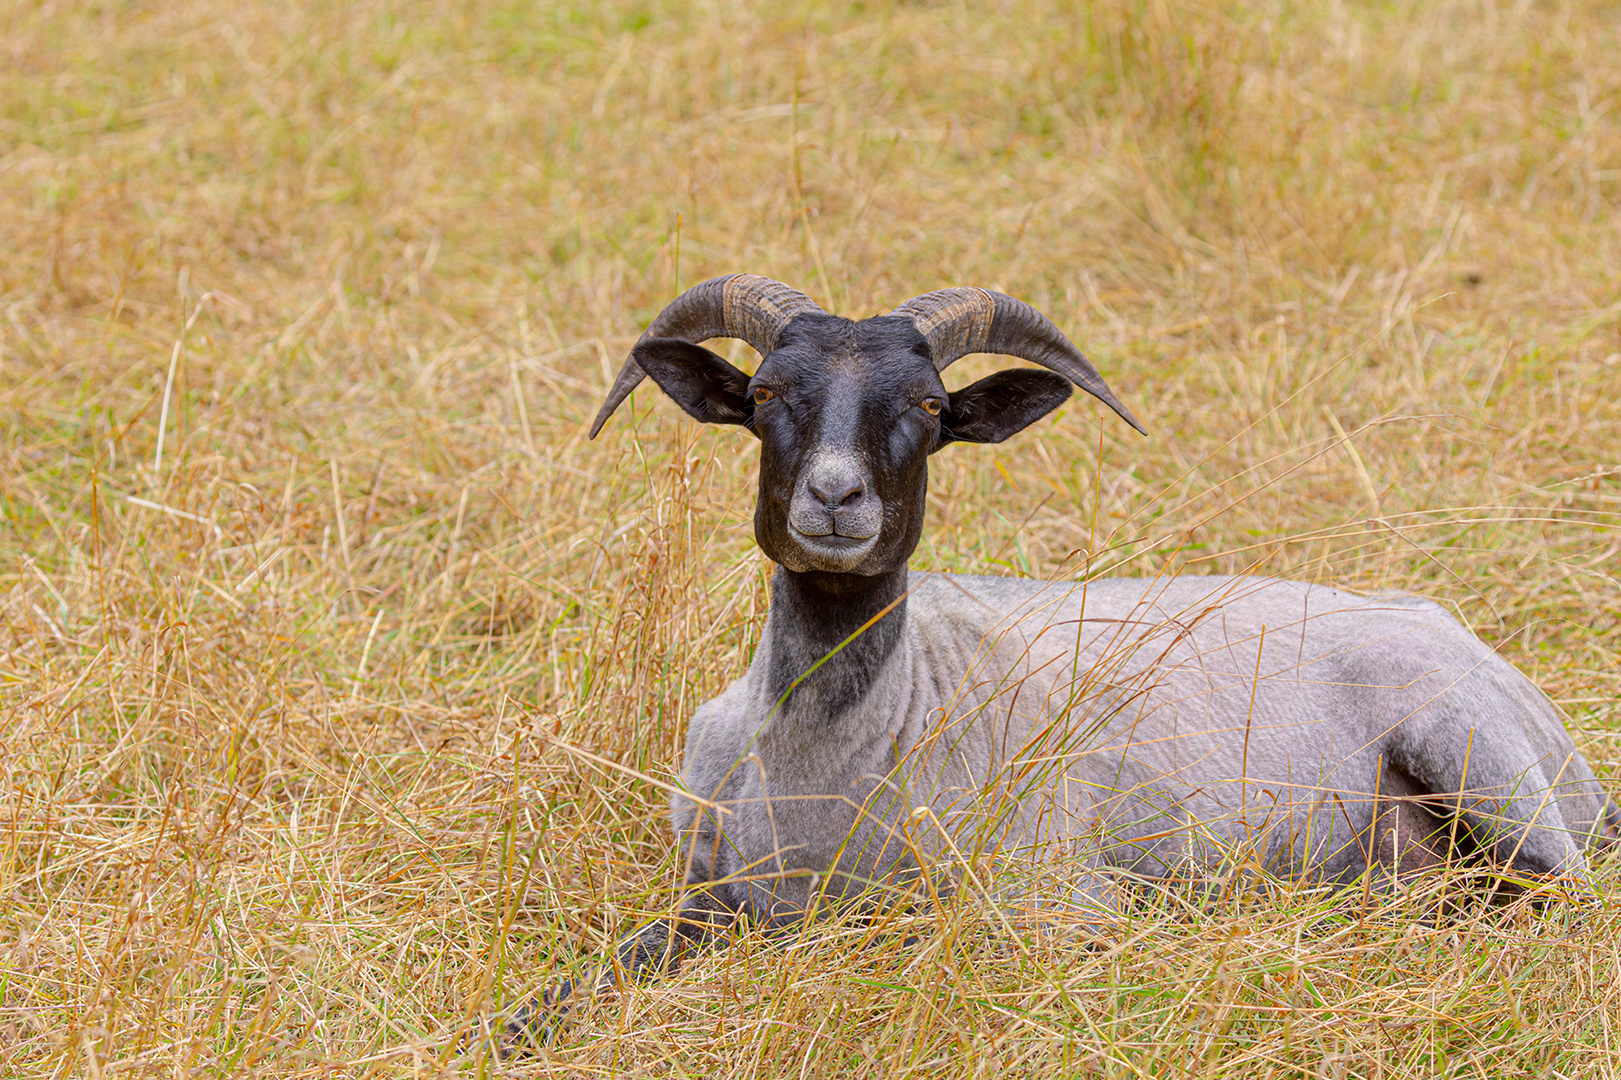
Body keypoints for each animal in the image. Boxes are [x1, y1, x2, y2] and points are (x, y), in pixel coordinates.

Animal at [499, 274, 1614, 1044]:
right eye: (766, 391)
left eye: (933, 410)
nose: (834, 499)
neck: (839, 763)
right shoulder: (702, 896)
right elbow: (575, 984)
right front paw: (517, 1030)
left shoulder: (1058, 906)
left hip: (1482, 758)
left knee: (1556, 904)